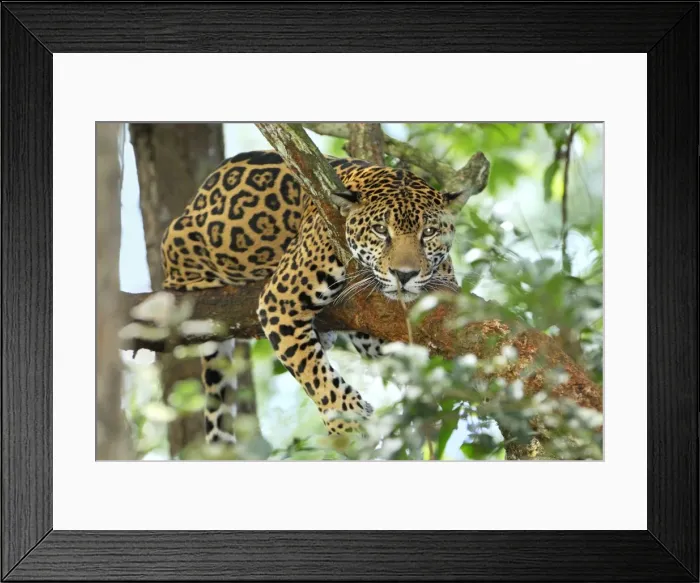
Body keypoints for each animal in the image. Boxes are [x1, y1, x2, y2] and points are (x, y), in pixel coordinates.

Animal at [159, 149, 486, 444]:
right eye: (380, 230)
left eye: (428, 232)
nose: (403, 274)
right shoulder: (279, 301)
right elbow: (310, 368)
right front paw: (346, 421)